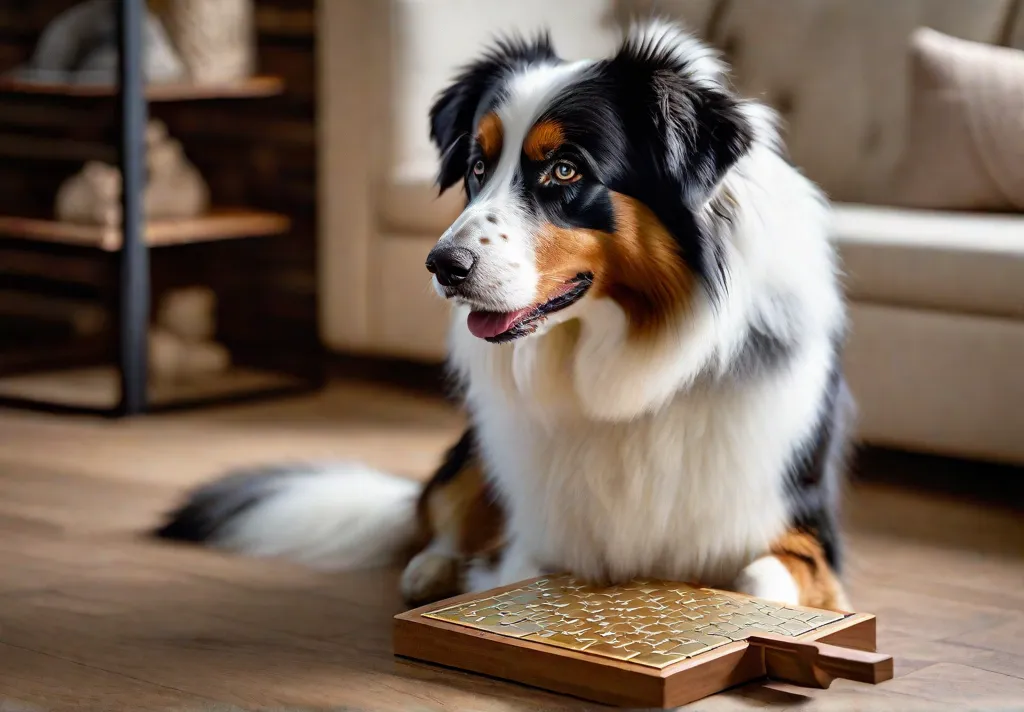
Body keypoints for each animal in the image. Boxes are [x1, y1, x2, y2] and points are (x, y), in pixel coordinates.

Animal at [155, 20, 851, 614]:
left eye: (565, 169)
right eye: (476, 167)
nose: (442, 265)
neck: (623, 369)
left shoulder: (804, 533)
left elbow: (760, 580)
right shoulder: (535, 535)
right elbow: (517, 572)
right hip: (476, 448)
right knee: (438, 516)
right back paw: (432, 570)